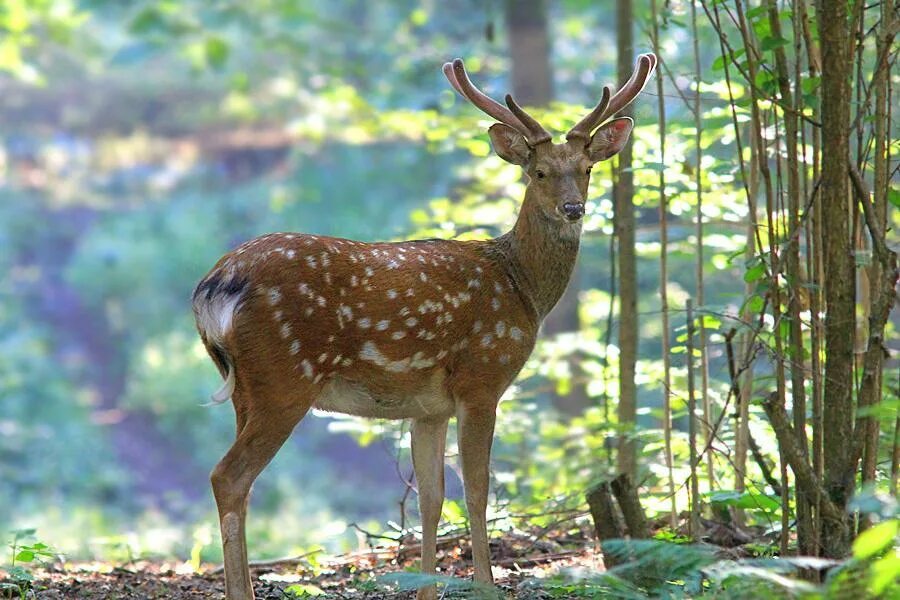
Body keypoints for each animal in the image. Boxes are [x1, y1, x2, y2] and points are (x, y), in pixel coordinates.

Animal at [192, 54, 652, 596]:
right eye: (538, 172)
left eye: (586, 169)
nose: (573, 208)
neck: (521, 286)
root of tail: (214, 287)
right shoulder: (482, 379)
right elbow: (477, 489)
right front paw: (486, 586)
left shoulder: (429, 408)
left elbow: (431, 497)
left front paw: (428, 587)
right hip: (286, 377)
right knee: (229, 476)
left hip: (245, 388)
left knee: (239, 482)